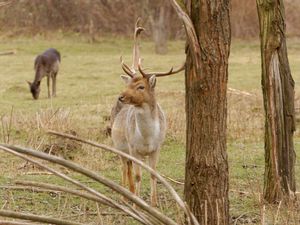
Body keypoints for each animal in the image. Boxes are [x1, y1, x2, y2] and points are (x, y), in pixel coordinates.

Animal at [110, 18, 184, 207]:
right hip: (118, 145)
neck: (146, 138)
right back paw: (125, 197)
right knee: (124, 167)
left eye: (141, 86)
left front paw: (154, 203)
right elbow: (137, 175)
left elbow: (153, 173)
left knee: (128, 167)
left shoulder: (157, 147)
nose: (121, 96)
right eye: (130, 84)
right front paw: (137, 203)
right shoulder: (133, 147)